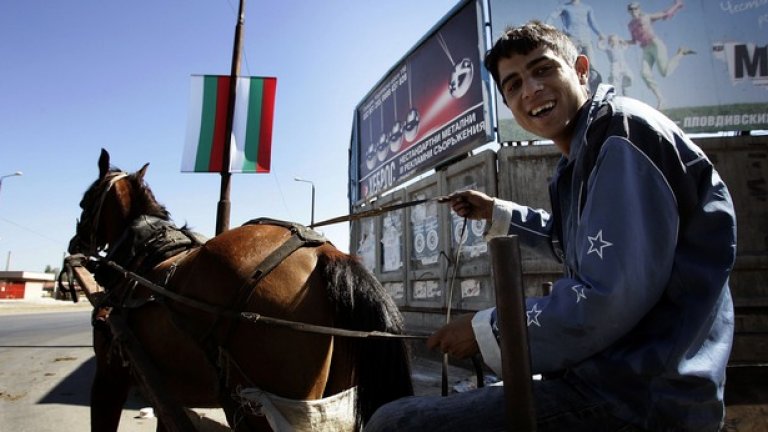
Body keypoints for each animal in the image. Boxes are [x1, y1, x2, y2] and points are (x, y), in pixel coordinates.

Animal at [66, 149, 414, 432]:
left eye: (85, 202)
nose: (74, 243)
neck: (144, 253)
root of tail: (323, 253)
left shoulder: (110, 377)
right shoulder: (167, 393)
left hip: (260, 407)